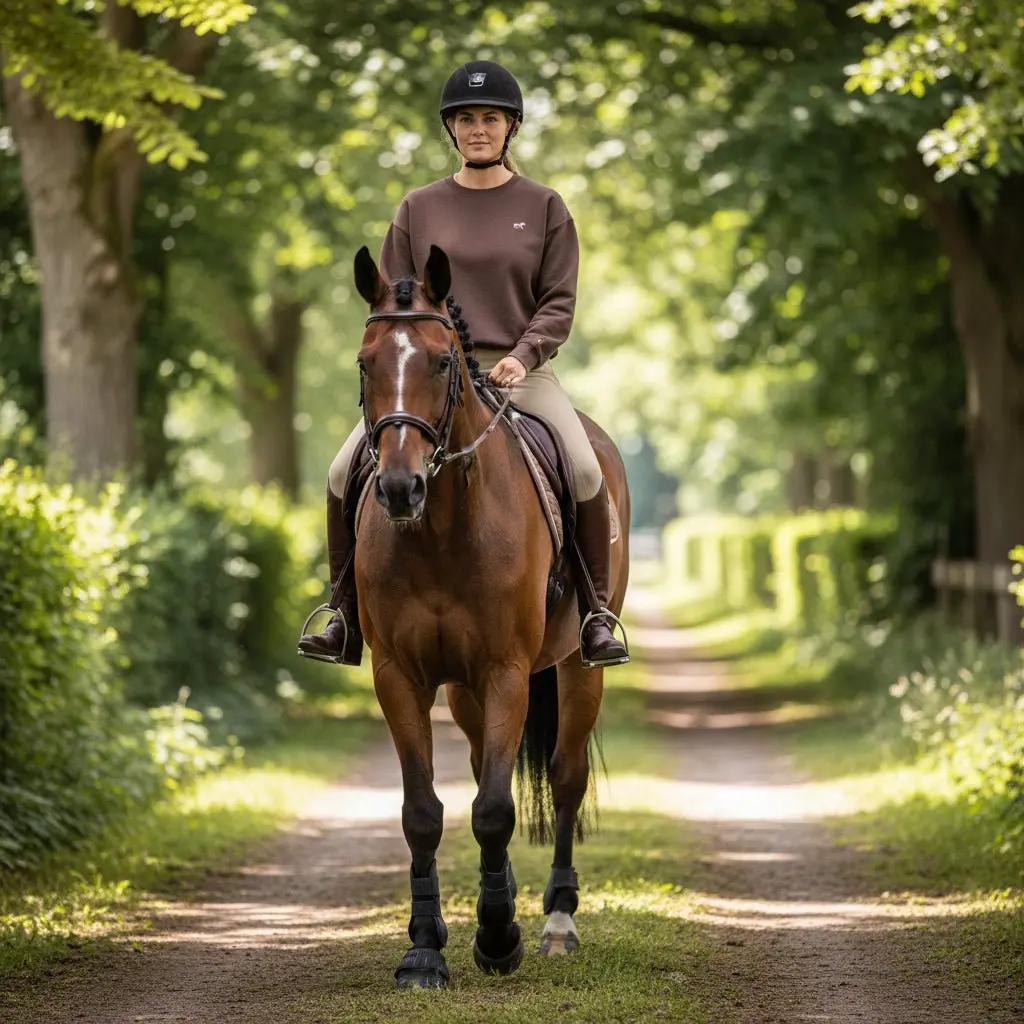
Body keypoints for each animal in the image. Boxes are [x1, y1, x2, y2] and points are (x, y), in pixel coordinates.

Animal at [350, 243, 630, 988]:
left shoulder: (507, 670)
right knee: (481, 768)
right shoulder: (400, 675)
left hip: (576, 667)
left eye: (442, 362)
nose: (399, 487)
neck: (441, 530)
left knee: (564, 778)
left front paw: (500, 938)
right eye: (366, 362)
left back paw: (556, 922)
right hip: (463, 690)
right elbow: (426, 812)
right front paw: (425, 949)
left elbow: (498, 809)